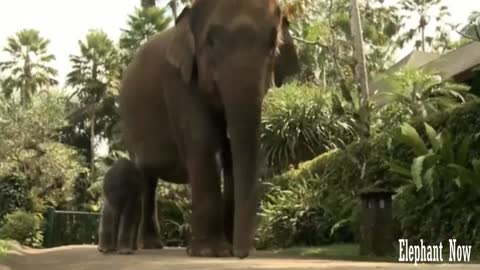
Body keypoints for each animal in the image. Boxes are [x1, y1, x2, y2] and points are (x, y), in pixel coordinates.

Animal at [117, 0, 296, 258]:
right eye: (210, 42)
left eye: (273, 46)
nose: (241, 254)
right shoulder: (177, 81)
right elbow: (201, 140)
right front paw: (209, 252)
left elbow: (229, 154)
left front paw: (225, 248)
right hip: (129, 125)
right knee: (146, 178)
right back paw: (145, 246)